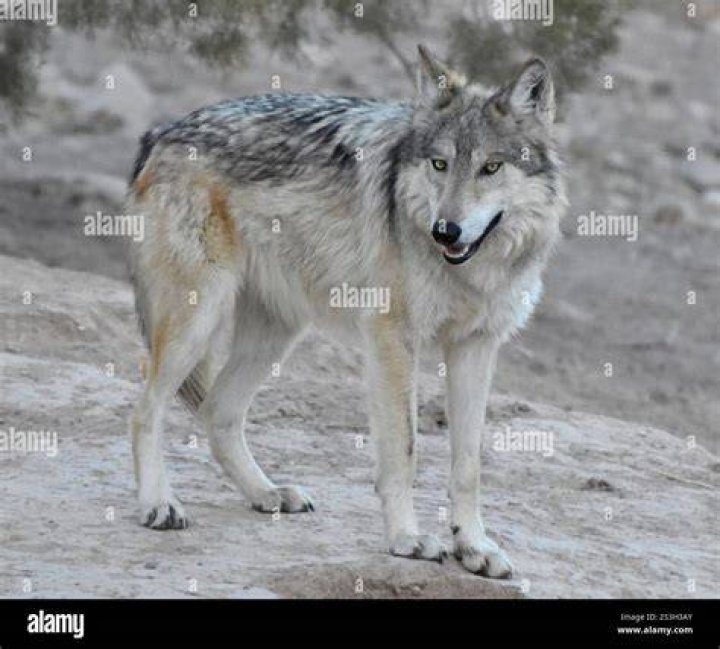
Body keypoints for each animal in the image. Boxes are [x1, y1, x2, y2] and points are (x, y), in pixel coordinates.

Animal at [127, 45, 566, 578]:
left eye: (491, 168)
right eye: (440, 164)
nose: (446, 230)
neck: (471, 271)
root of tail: (161, 131)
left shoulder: (476, 347)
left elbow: (468, 465)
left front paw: (474, 547)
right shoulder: (392, 339)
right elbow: (404, 450)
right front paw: (407, 539)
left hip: (275, 333)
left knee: (218, 412)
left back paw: (266, 493)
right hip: (197, 320)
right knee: (145, 411)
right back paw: (158, 504)